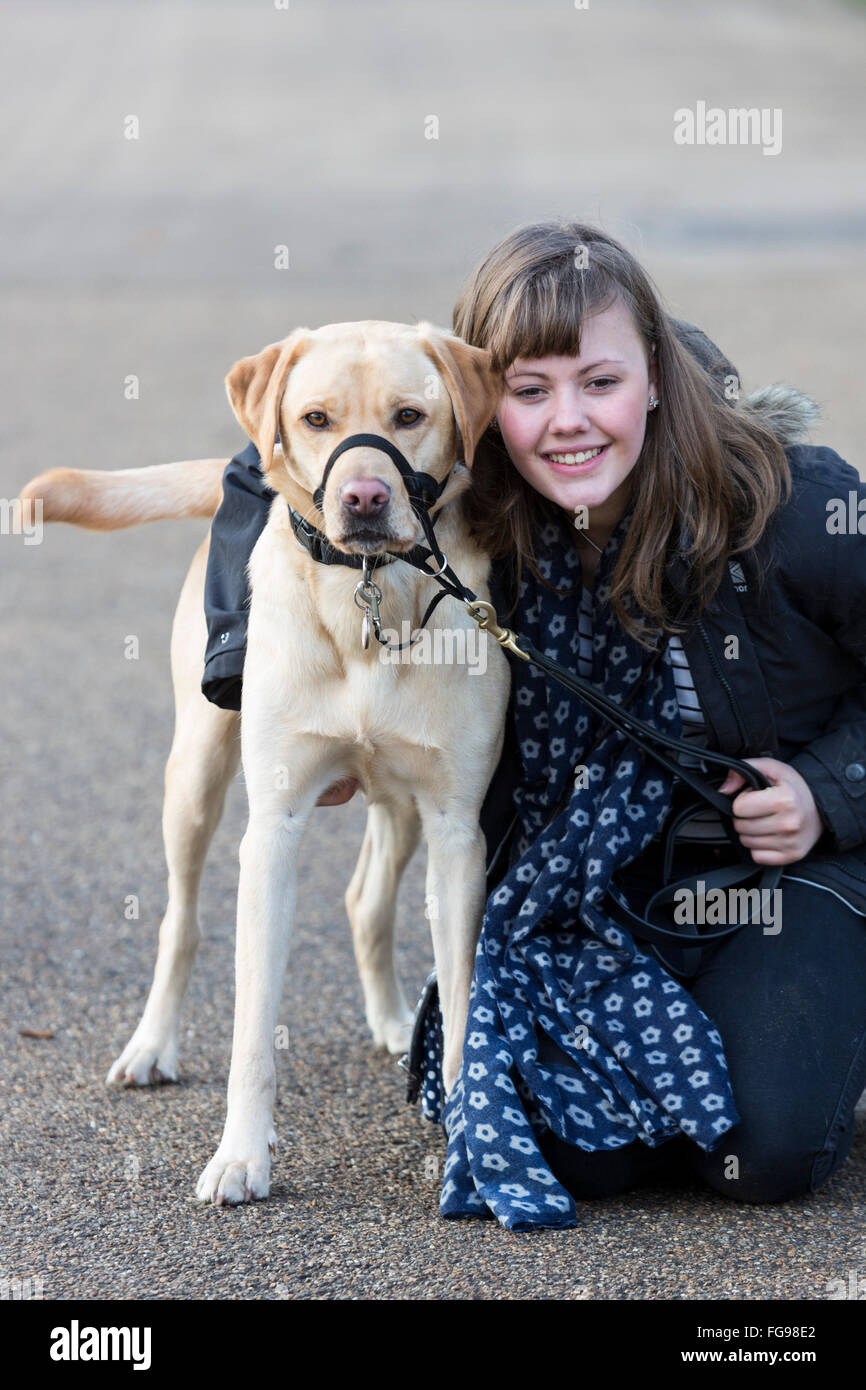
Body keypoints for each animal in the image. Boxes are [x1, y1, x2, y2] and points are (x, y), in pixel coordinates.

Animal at [20, 322, 511, 1206]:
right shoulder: (273, 831)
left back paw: (392, 1022)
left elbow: (461, 1007)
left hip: (402, 808)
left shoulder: (458, 829)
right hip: (194, 777)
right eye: (315, 418)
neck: (366, 598)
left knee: (365, 900)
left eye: (410, 415)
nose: (363, 499)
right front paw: (242, 1155)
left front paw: (467, 1141)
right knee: (180, 921)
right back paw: (152, 1045)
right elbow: (252, 1027)